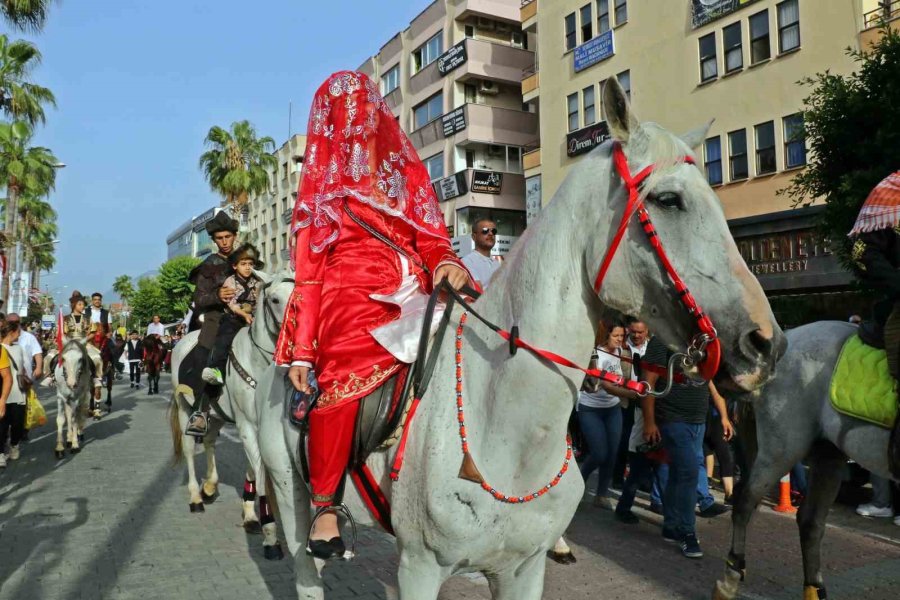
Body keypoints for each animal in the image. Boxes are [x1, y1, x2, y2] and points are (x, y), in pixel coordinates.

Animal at [169, 270, 296, 560]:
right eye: (274, 299)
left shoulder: (259, 430)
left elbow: (254, 469)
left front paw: (250, 514)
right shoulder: (247, 426)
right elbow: (259, 471)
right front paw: (270, 535)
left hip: (214, 415)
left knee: (209, 441)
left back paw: (209, 487)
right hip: (184, 409)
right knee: (191, 450)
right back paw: (195, 497)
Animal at [258, 79, 788, 600]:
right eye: (669, 200)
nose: (765, 343)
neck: (504, 424)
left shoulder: (522, 568)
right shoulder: (419, 568)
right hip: (291, 497)